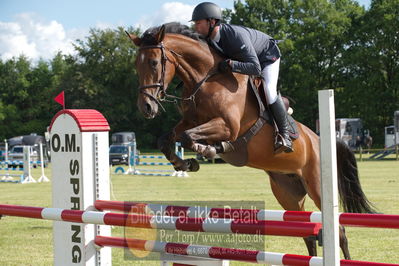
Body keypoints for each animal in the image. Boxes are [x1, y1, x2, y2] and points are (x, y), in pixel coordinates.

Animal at [126, 22, 376, 260]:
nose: (146, 107)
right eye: (136, 66)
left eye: (154, 63)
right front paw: (184, 163)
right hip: (288, 193)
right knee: (308, 234)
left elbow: (190, 137)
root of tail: (319, 139)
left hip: (317, 186)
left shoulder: (228, 126)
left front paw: (209, 150)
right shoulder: (189, 121)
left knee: (339, 232)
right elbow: (166, 139)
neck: (205, 79)